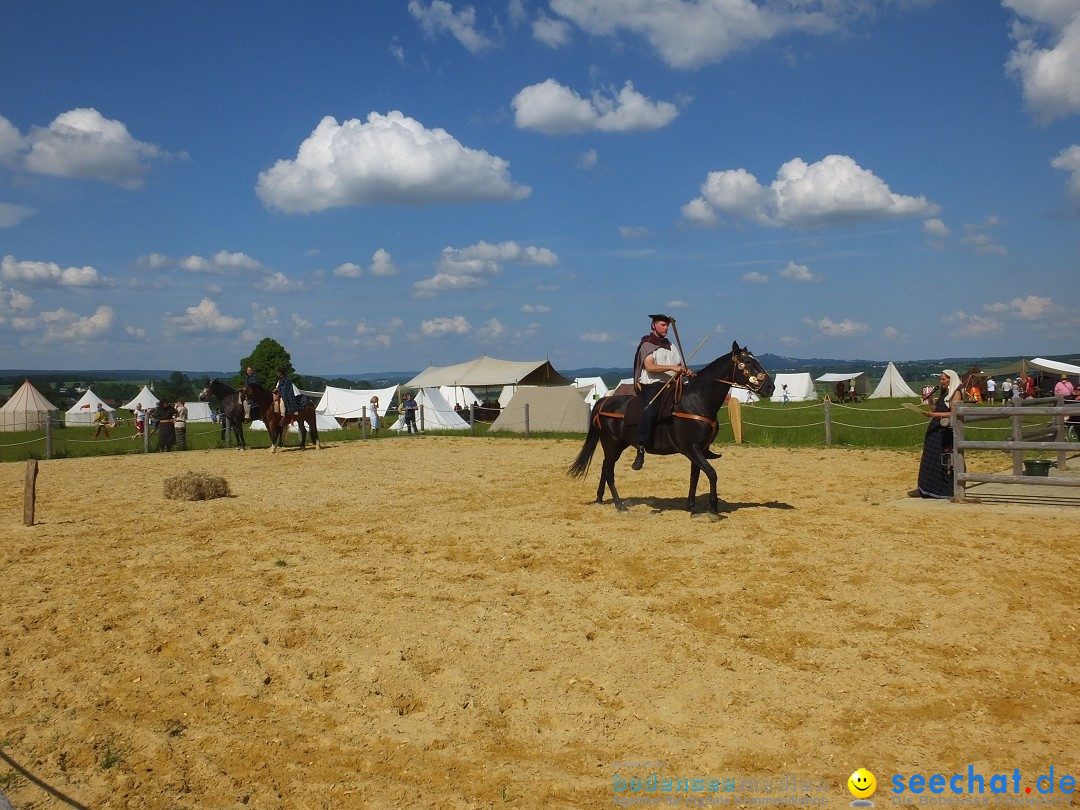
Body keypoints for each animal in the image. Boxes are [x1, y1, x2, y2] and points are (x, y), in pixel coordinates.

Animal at [570, 343, 773, 514]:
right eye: (748, 361)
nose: (770, 387)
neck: (697, 401)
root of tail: (603, 402)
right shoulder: (691, 448)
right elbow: (712, 473)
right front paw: (713, 509)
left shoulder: (698, 450)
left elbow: (695, 477)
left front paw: (692, 507)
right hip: (611, 445)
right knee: (609, 471)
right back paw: (619, 504)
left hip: (617, 446)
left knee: (605, 468)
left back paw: (600, 499)